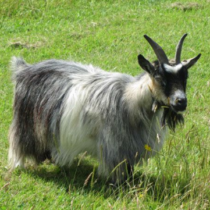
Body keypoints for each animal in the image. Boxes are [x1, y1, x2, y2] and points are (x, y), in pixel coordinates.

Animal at [8, 33, 201, 183]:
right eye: (159, 77)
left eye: (185, 77)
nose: (181, 102)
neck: (130, 99)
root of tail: (23, 70)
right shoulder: (115, 147)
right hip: (26, 124)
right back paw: (20, 164)